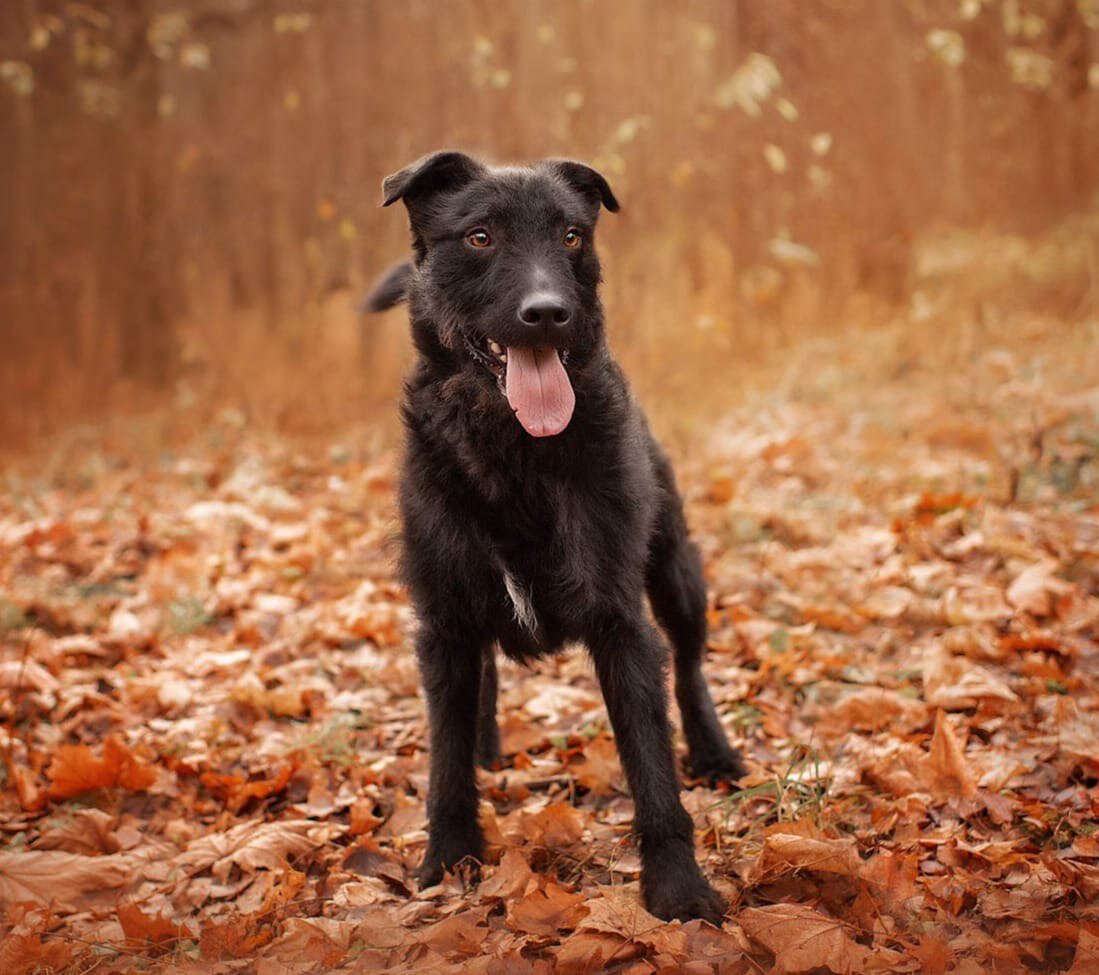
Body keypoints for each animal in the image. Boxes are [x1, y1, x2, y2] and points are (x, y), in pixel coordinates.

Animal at [369, 152, 747, 923]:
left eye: (571, 235)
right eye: (479, 237)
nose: (547, 312)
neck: (514, 449)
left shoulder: (620, 622)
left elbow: (650, 763)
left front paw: (678, 888)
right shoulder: (443, 622)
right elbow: (445, 756)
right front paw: (448, 858)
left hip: (676, 573)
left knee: (689, 666)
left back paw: (714, 751)